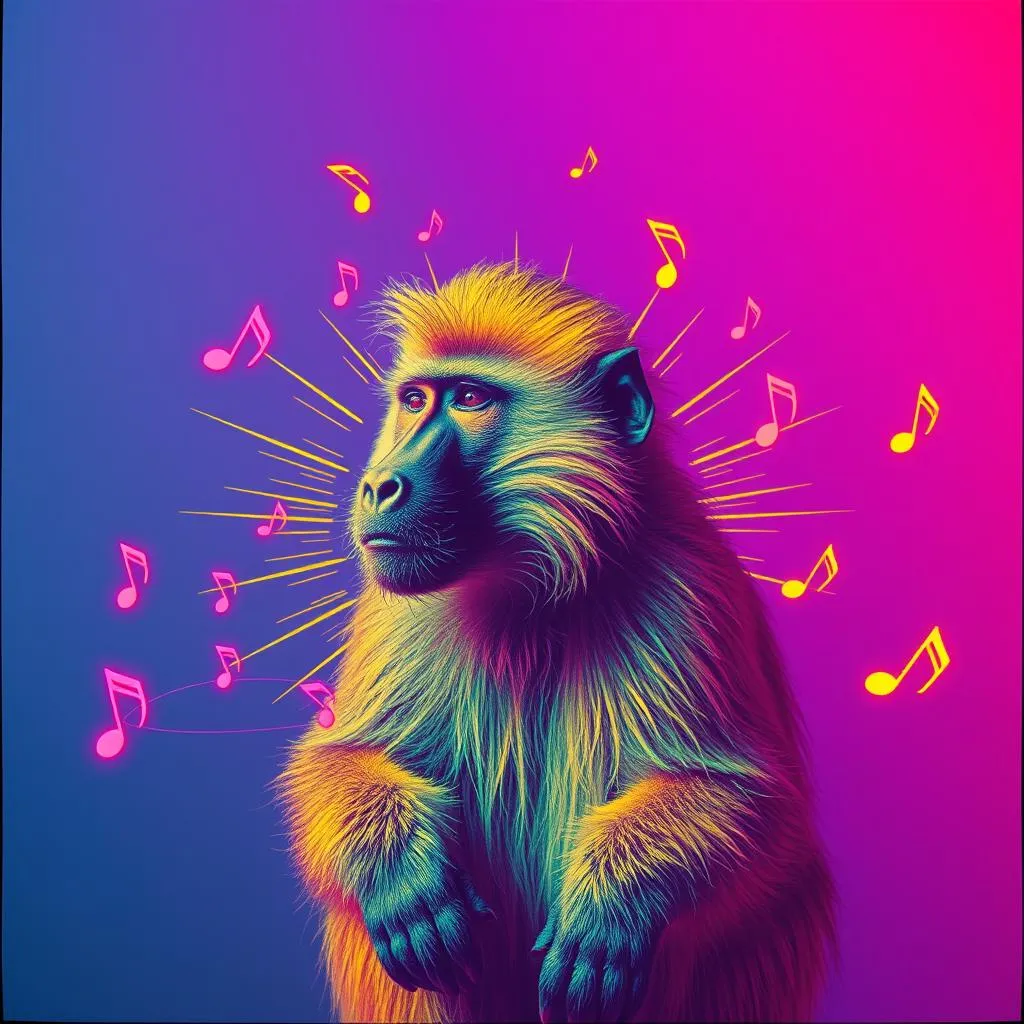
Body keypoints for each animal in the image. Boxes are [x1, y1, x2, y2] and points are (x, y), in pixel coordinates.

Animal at [276, 262, 836, 1023]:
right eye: (415, 399)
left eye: (471, 398)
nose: (381, 485)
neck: (531, 584)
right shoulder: (397, 607)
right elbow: (344, 757)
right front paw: (404, 882)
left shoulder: (685, 580)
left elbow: (753, 806)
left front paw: (613, 912)